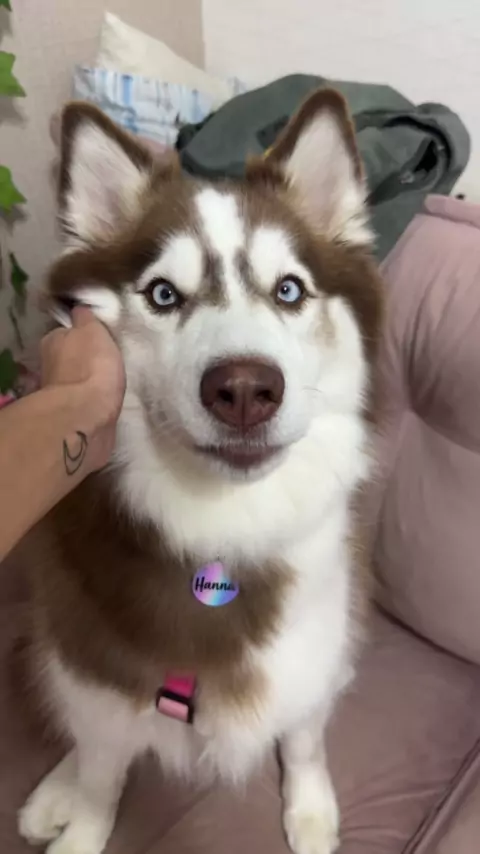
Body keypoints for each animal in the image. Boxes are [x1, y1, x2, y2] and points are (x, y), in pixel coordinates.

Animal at [18, 89, 382, 854]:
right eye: (163, 295)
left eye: (288, 290)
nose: (244, 389)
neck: (221, 529)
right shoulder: (93, 665)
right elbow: (100, 773)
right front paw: (80, 822)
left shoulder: (316, 647)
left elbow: (304, 736)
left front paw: (310, 809)